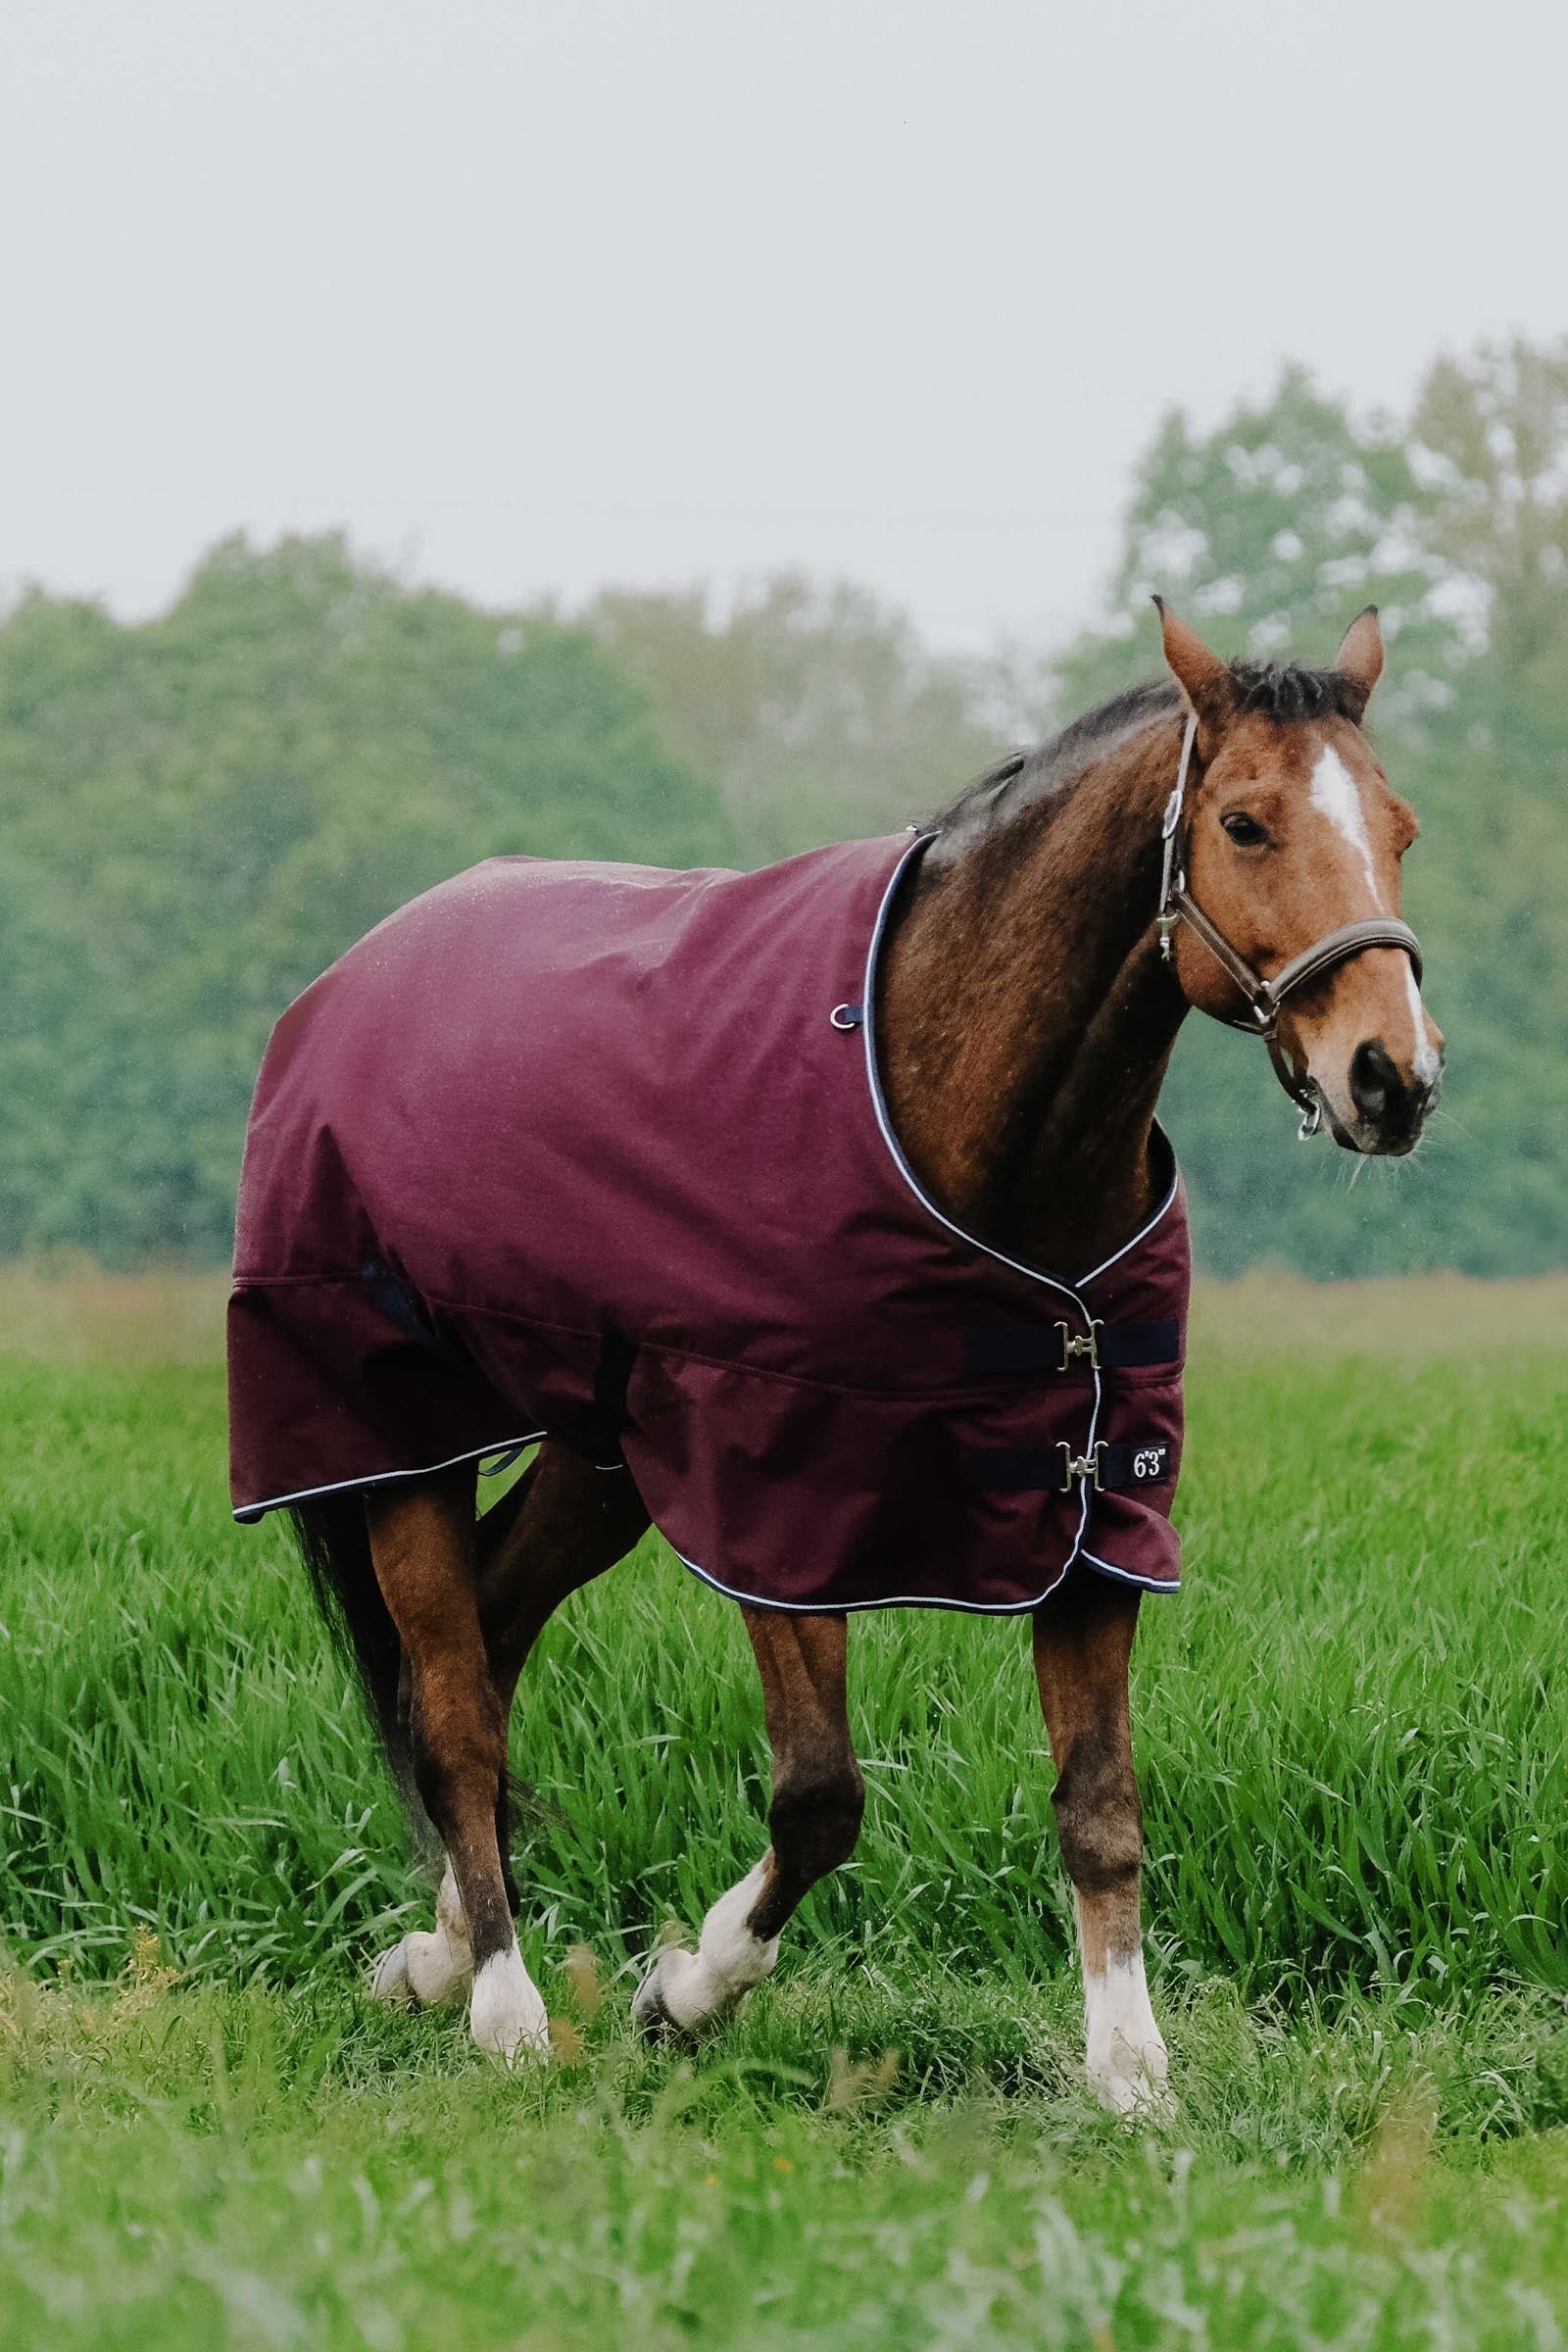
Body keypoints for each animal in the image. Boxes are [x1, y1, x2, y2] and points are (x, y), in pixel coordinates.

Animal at [227, 601, 1442, 2111]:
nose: (1393, 1078)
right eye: (1246, 823)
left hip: (600, 1457)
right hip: (400, 1438)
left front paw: (1131, 2073)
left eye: (1400, 827)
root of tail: (345, 983)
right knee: (451, 1699)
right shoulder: (778, 1497)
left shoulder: (1095, 1504)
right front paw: (685, 1992)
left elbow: (1101, 1809)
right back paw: (502, 2005)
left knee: (495, 1636)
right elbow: (818, 1798)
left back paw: (433, 1957)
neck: (956, 1105)